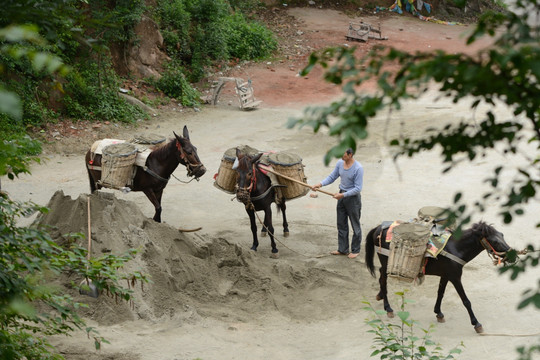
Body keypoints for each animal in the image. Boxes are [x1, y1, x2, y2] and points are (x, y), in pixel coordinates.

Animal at [364, 221, 512, 334]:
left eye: (502, 235)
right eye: (495, 241)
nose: (512, 255)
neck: (456, 248)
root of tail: (378, 227)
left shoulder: (446, 275)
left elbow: (440, 293)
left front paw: (439, 313)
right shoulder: (455, 277)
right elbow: (466, 301)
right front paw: (476, 324)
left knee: (381, 277)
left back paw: (380, 296)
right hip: (386, 261)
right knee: (383, 279)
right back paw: (388, 308)